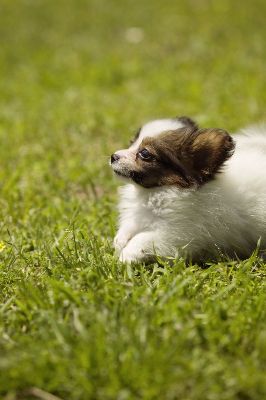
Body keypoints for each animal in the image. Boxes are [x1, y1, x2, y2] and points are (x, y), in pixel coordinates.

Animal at [109, 115, 266, 264]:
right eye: (131, 142)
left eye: (145, 153)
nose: (113, 156)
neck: (155, 192)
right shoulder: (139, 216)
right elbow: (128, 226)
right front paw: (119, 242)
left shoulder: (177, 233)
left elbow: (143, 238)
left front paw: (126, 256)